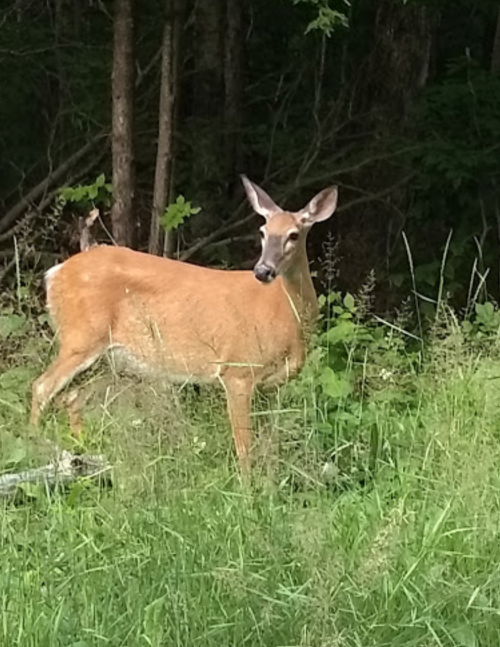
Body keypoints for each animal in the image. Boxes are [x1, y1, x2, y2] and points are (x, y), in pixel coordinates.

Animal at [30, 176, 339, 471]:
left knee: (73, 398)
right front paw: (248, 487)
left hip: (110, 359)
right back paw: (40, 448)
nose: (263, 270)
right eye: (263, 232)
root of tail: (55, 273)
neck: (286, 316)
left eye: (294, 235)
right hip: (80, 336)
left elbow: (270, 440)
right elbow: (244, 446)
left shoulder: (274, 385)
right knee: (41, 387)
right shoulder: (237, 370)